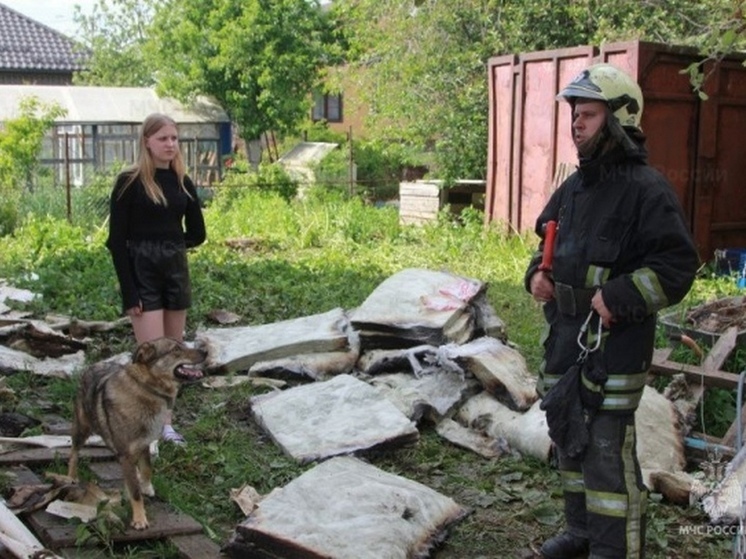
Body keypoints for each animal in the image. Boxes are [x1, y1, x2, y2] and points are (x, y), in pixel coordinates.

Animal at [67, 336, 206, 528]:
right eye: (175, 349)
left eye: (183, 344)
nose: (205, 351)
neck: (147, 389)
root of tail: (93, 365)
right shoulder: (126, 454)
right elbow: (134, 492)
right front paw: (140, 518)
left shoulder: (144, 444)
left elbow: (147, 469)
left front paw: (146, 486)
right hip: (82, 427)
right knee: (73, 451)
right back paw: (71, 476)